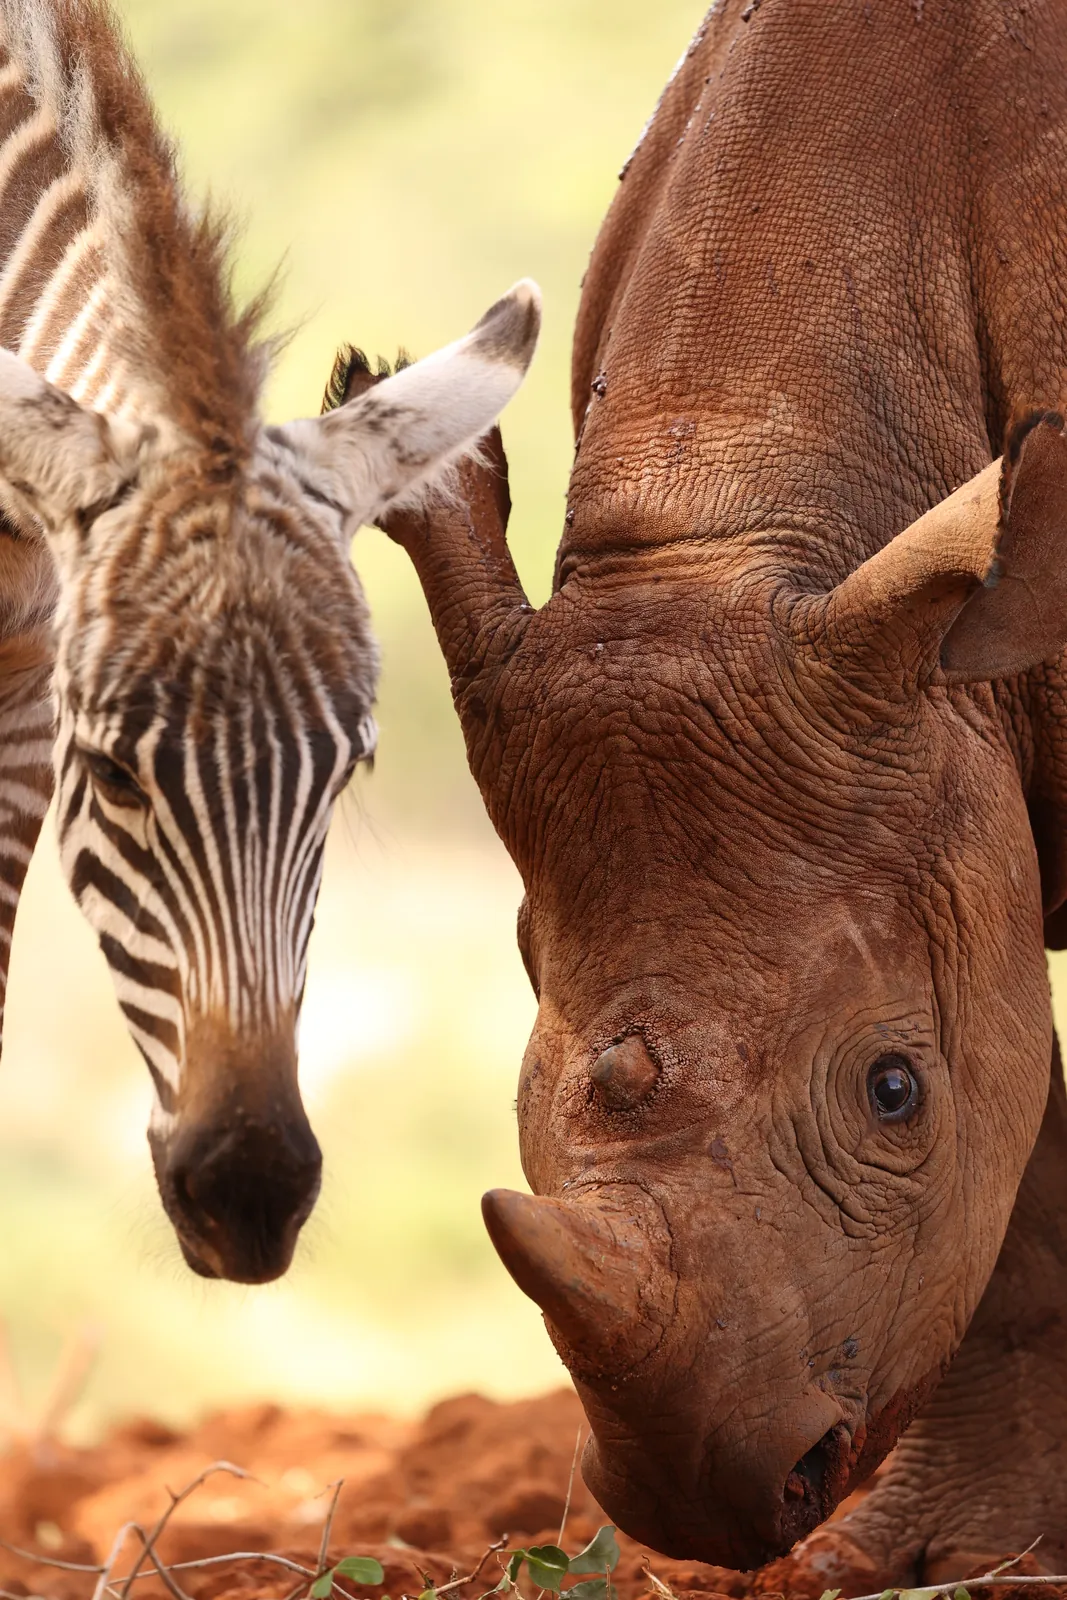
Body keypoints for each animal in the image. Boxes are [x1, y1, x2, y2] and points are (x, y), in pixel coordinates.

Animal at [387, 0, 1067, 1582]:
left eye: (891, 1091)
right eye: (525, 1091)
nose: (700, 1504)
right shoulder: (950, 775)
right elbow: (1016, 1182)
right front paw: (936, 1559)